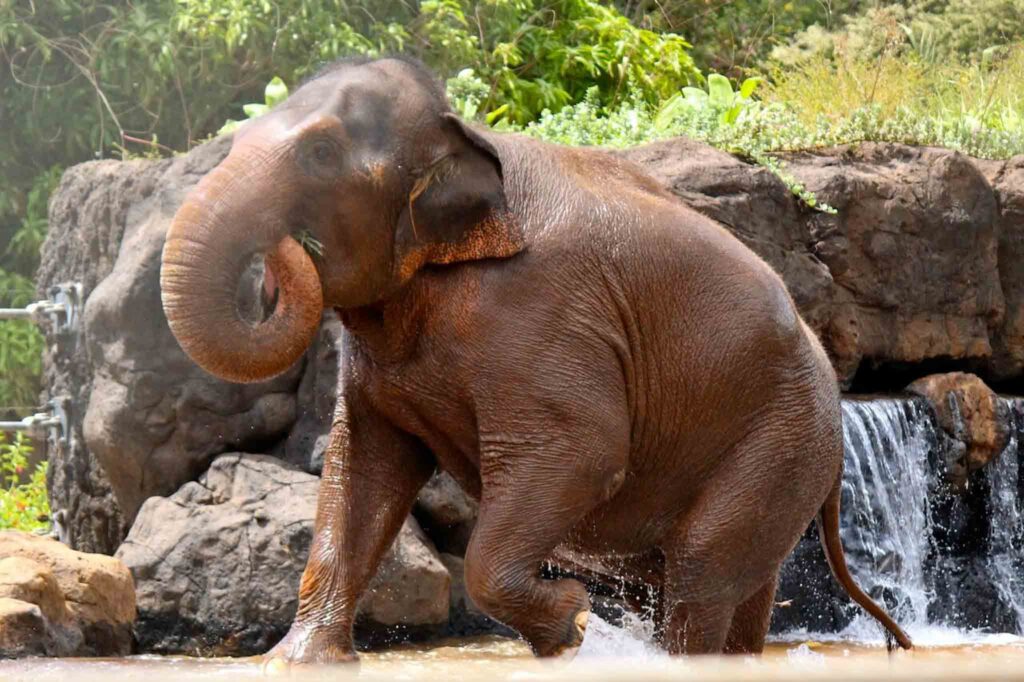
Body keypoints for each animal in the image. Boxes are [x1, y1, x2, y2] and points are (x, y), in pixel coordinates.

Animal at [159, 56, 912, 665]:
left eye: (318, 153)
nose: (285, 251)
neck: (463, 137)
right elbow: (363, 470)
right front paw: (298, 662)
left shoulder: (539, 313)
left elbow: (582, 449)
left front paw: (573, 625)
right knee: (730, 584)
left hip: (781, 440)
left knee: (699, 571)